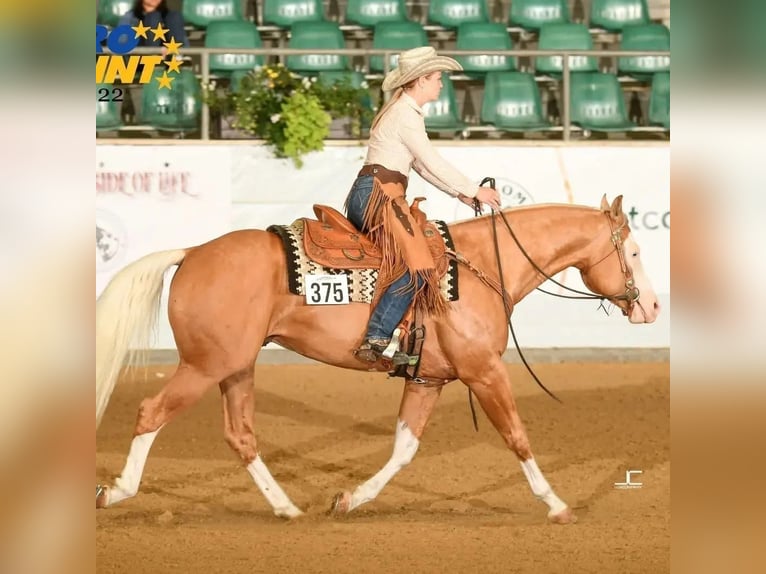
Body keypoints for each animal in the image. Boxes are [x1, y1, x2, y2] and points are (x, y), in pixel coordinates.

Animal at [95, 194, 660, 524]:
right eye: (633, 253)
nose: (652, 307)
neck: (481, 268)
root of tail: (192, 252)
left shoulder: (428, 380)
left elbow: (404, 449)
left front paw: (350, 499)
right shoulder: (484, 373)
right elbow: (517, 436)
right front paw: (557, 504)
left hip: (236, 367)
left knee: (241, 435)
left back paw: (286, 507)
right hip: (205, 365)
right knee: (151, 412)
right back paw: (116, 492)